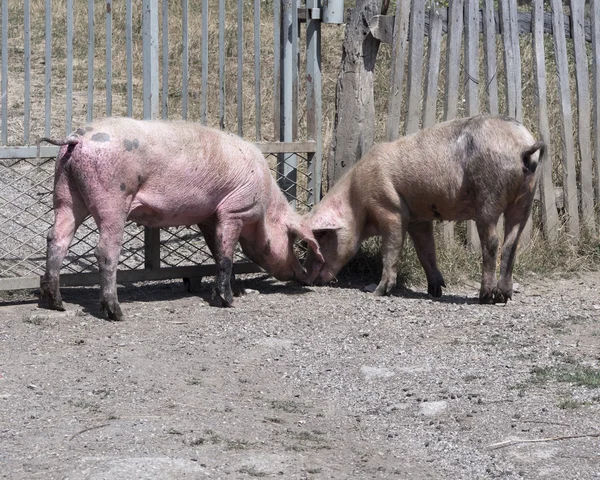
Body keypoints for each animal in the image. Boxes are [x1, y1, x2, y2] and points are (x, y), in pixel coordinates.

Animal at [36, 116, 324, 320]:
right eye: (291, 239)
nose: (304, 275)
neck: (265, 204)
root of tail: (77, 139)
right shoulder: (234, 209)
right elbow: (227, 255)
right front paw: (228, 301)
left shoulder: (208, 216)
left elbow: (219, 253)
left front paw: (236, 292)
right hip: (112, 197)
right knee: (104, 250)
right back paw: (116, 313)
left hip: (65, 192)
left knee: (56, 237)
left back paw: (56, 304)